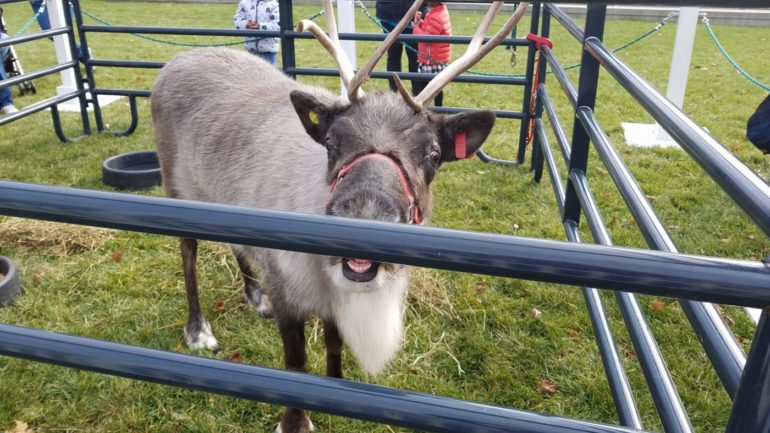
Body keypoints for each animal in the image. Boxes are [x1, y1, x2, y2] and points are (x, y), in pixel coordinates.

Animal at [151, 1, 529, 431]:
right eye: (332, 140)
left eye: (434, 154)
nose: (364, 220)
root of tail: (178, 60)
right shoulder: (287, 292)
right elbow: (296, 362)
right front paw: (295, 421)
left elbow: (334, 343)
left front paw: (335, 388)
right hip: (177, 189)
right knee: (188, 253)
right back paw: (198, 330)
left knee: (237, 246)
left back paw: (255, 297)